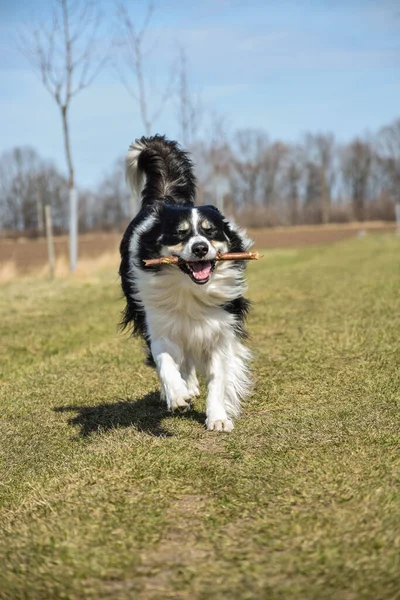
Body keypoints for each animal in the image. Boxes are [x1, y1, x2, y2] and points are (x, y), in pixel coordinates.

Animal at [119, 136, 252, 432]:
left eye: (210, 231)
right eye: (179, 234)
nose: (200, 248)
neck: (190, 289)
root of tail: (166, 196)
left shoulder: (220, 329)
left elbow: (218, 378)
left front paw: (217, 417)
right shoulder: (158, 325)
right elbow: (165, 361)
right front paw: (177, 395)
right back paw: (184, 389)